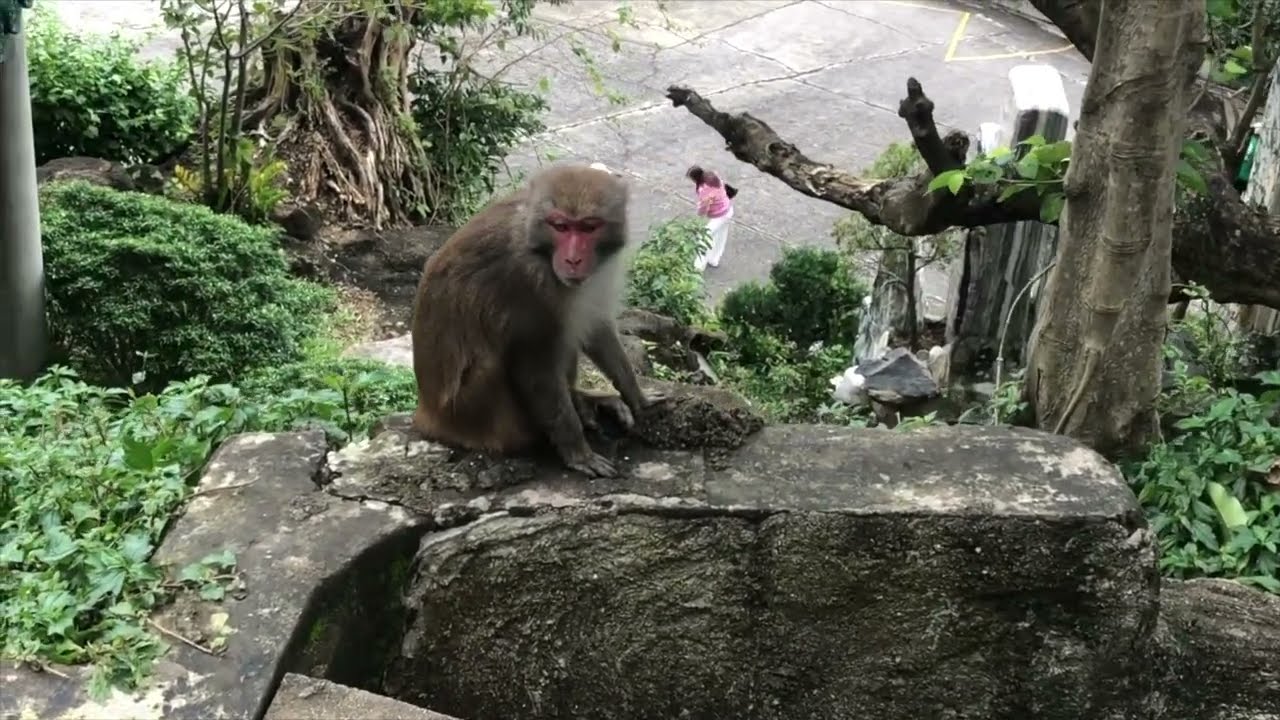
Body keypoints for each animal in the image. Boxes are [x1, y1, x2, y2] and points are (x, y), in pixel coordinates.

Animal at [410, 162, 664, 478]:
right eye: (561, 226)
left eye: (588, 227)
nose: (572, 260)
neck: (540, 249)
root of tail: (427, 413)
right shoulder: (527, 283)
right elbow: (534, 366)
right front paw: (578, 453)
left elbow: (595, 327)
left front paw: (638, 396)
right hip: (471, 413)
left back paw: (584, 400)